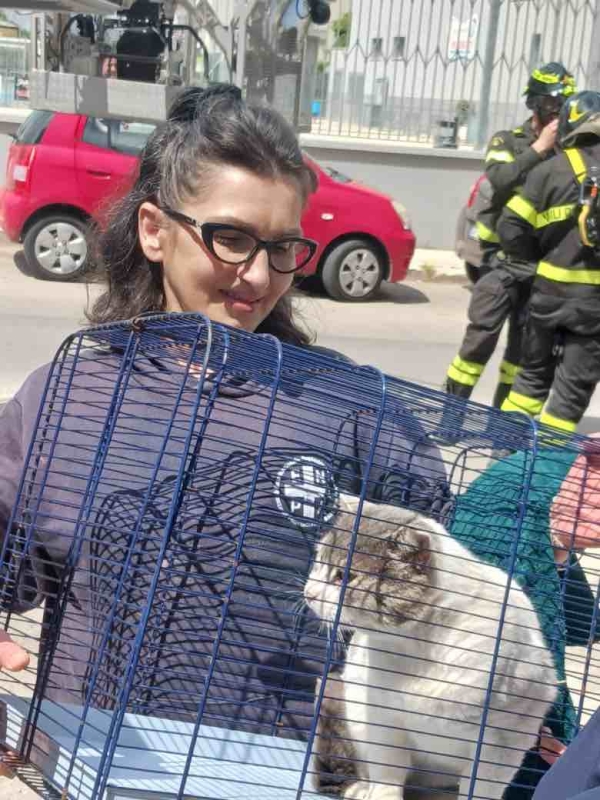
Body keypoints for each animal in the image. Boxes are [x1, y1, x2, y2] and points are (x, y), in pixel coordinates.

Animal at [304, 496, 556, 796]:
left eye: (344, 576)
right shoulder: (381, 718)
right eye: (319, 560)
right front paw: (382, 794)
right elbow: (387, 773)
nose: (309, 593)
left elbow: (480, 788)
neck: (418, 647)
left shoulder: (501, 743)